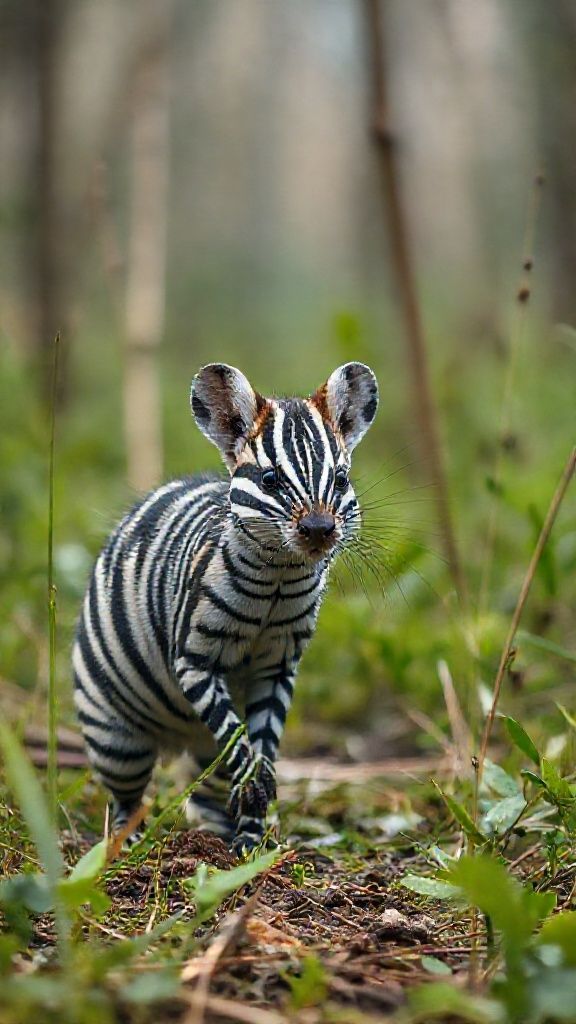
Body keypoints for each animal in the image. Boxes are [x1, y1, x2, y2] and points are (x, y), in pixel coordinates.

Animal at [73, 362, 378, 851]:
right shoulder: (194, 661)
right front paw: (254, 789)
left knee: (208, 792)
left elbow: (261, 745)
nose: (319, 530)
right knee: (128, 798)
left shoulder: (278, 668)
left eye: (340, 480)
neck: (276, 587)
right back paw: (129, 845)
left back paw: (222, 844)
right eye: (271, 480)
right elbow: (237, 739)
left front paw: (252, 843)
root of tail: (177, 735)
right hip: (115, 736)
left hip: (199, 748)